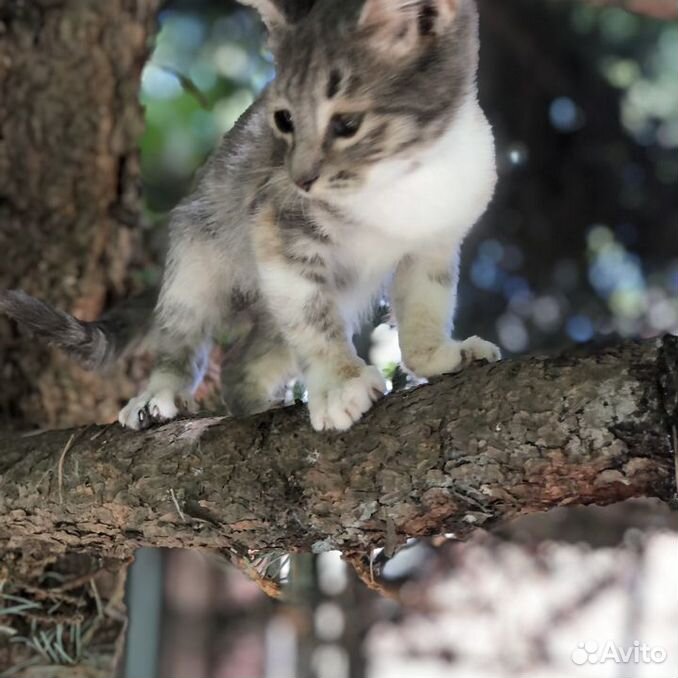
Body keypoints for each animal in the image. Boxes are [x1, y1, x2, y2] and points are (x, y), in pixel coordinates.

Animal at [0, 0, 502, 432]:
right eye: (283, 119)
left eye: (347, 125)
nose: (300, 178)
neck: (402, 182)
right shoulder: (276, 227)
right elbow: (314, 322)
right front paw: (339, 384)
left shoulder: (433, 244)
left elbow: (425, 305)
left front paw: (438, 356)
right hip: (198, 253)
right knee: (182, 336)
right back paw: (159, 394)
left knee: (243, 360)